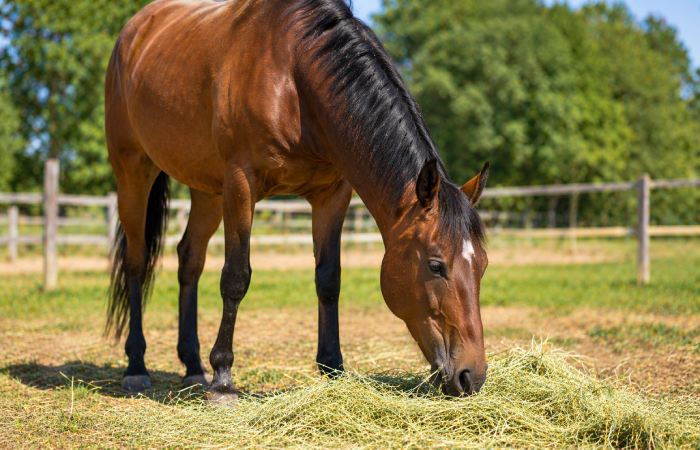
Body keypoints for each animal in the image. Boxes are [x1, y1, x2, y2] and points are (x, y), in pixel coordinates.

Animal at [105, 0, 490, 402]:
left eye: (482, 265)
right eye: (436, 266)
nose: (471, 376)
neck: (294, 79)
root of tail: (135, 31)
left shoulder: (332, 195)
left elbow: (329, 278)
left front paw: (333, 368)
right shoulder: (241, 185)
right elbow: (236, 277)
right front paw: (223, 379)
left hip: (206, 190)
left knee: (189, 260)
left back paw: (193, 367)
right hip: (133, 171)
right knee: (136, 262)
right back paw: (137, 366)